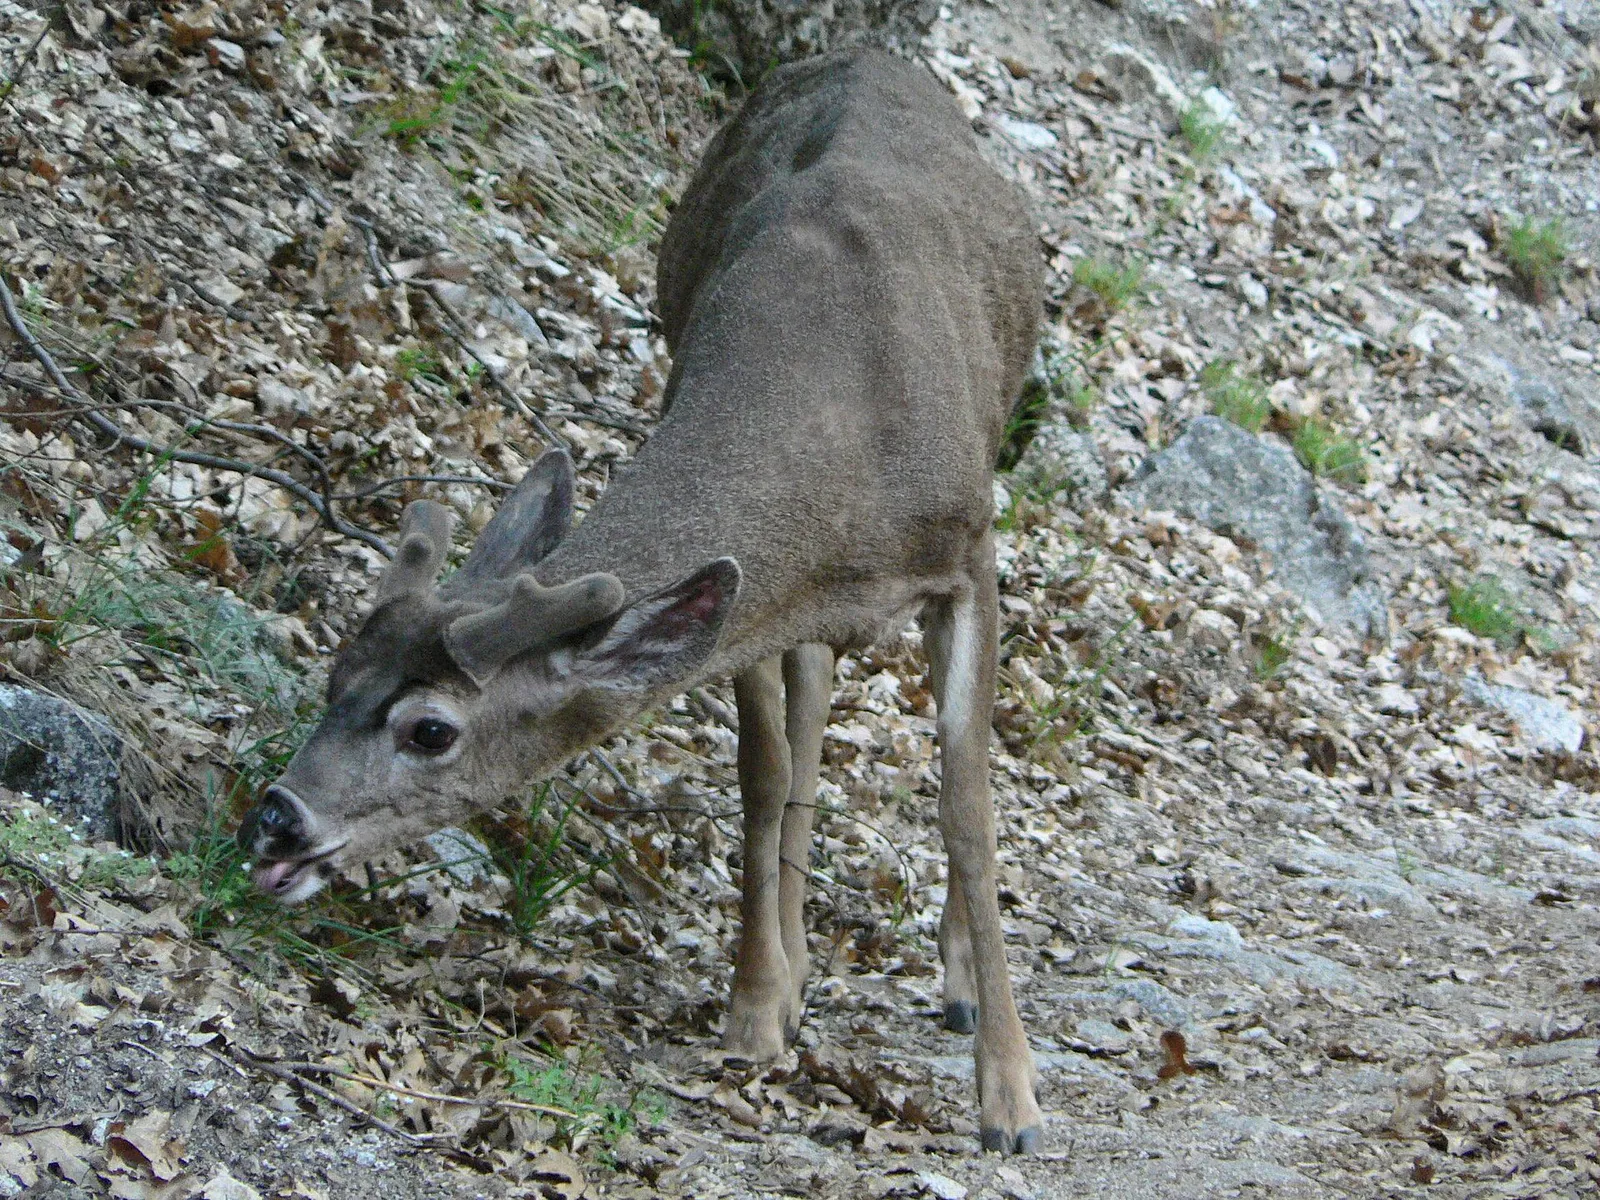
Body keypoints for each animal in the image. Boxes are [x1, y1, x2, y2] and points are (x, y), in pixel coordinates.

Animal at [237, 48, 1045, 1153]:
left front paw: (1008, 1094)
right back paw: (798, 971)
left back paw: (953, 991)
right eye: (334, 674)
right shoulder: (763, 596)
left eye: (431, 729)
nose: (277, 818)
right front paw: (756, 1007)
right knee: (809, 712)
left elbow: (968, 803)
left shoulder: (969, 552)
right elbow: (762, 772)